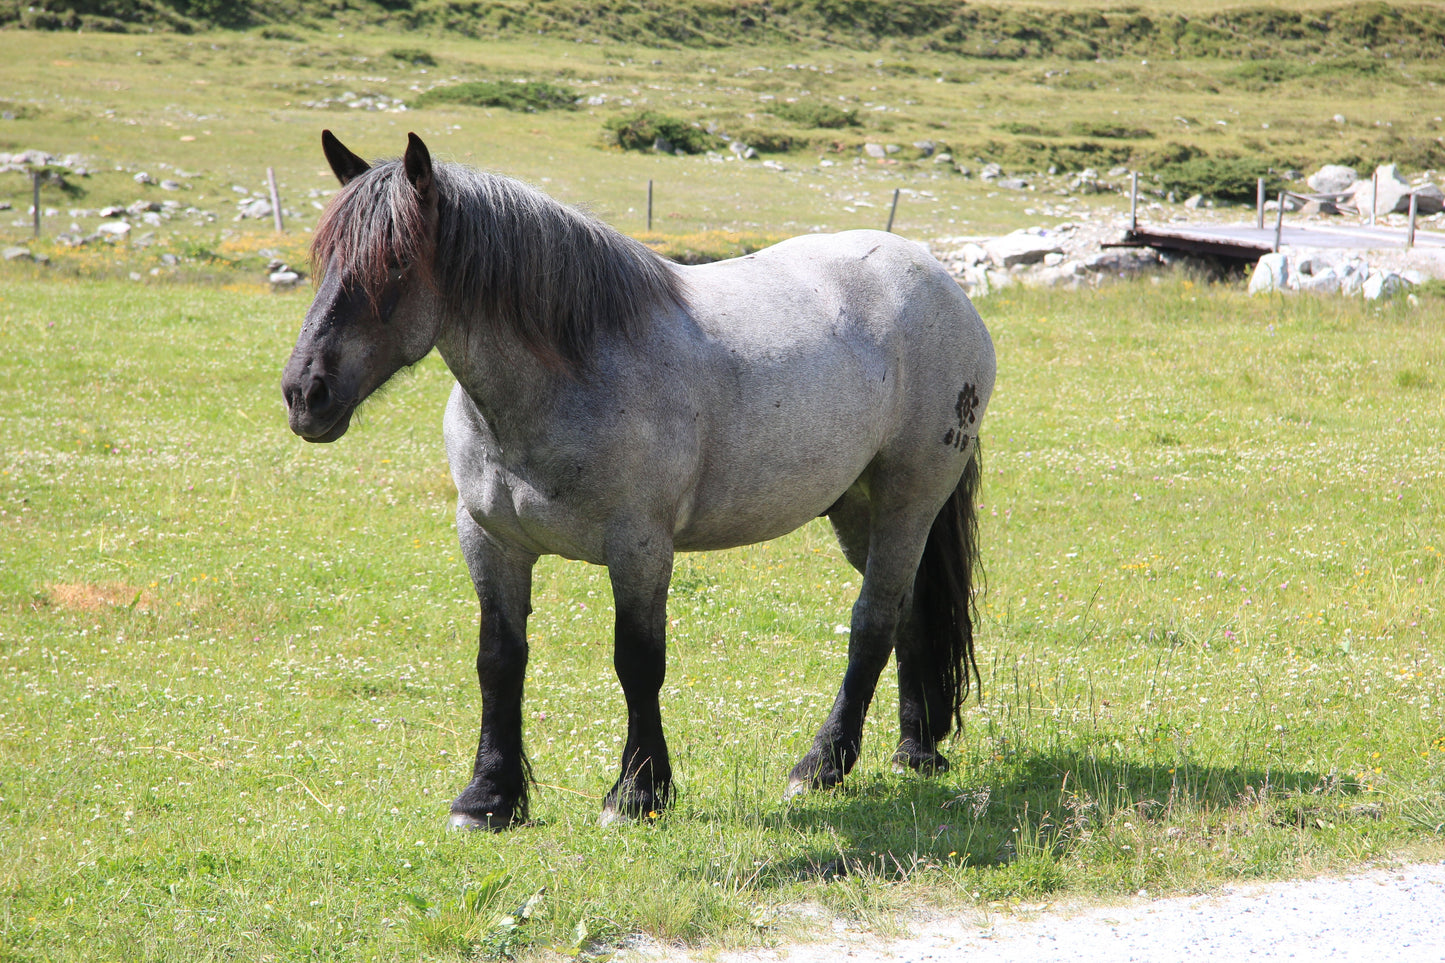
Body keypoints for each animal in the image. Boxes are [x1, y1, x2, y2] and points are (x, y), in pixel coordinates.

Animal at [281, 131, 994, 827]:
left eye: (395, 264)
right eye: (325, 261)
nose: (304, 394)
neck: (572, 376)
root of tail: (938, 279)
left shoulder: (640, 547)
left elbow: (637, 662)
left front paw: (637, 792)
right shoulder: (490, 541)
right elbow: (499, 659)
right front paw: (488, 797)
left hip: (909, 499)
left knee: (873, 619)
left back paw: (822, 765)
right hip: (856, 507)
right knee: (909, 608)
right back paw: (915, 747)